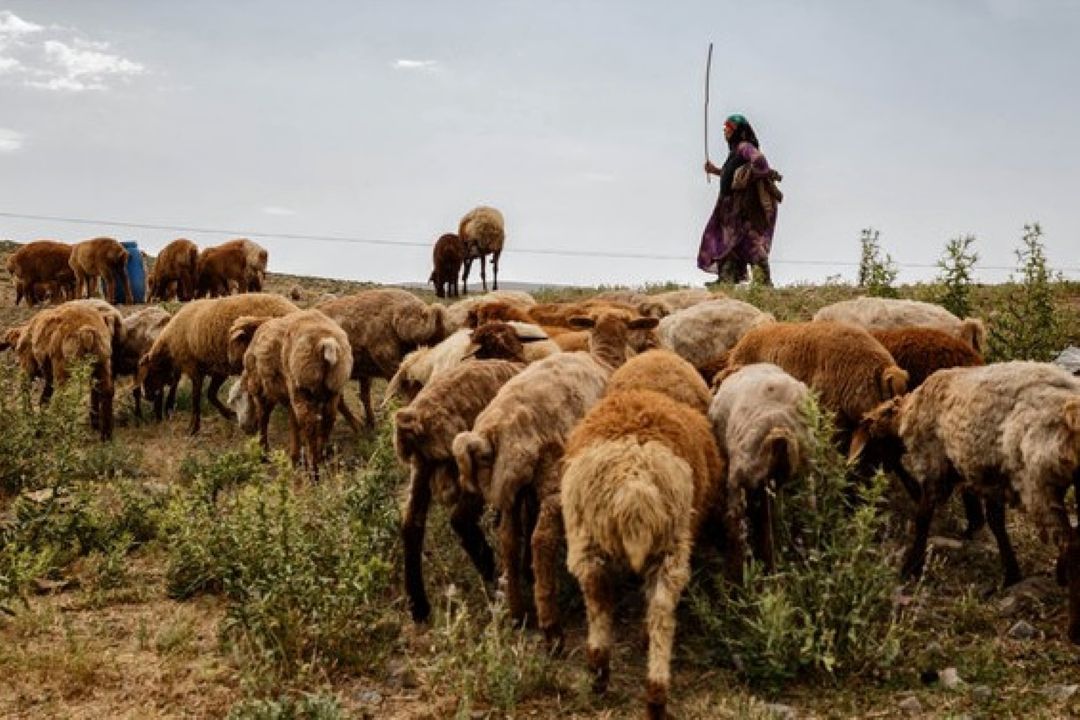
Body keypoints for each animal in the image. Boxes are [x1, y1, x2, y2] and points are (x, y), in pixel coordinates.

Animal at [140, 293, 300, 433]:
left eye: (149, 373)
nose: (146, 396)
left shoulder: (194, 369)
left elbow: (196, 399)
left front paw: (193, 427)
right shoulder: (218, 370)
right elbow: (210, 394)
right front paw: (229, 414)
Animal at [395, 360, 524, 626]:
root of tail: (417, 421)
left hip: (421, 468)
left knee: (412, 524)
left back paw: (419, 607)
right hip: (471, 466)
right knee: (460, 518)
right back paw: (492, 578)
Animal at [561, 349, 738, 720]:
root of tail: (633, 482)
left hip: (587, 538)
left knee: (599, 596)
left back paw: (601, 671)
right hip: (671, 543)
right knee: (659, 610)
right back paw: (655, 693)